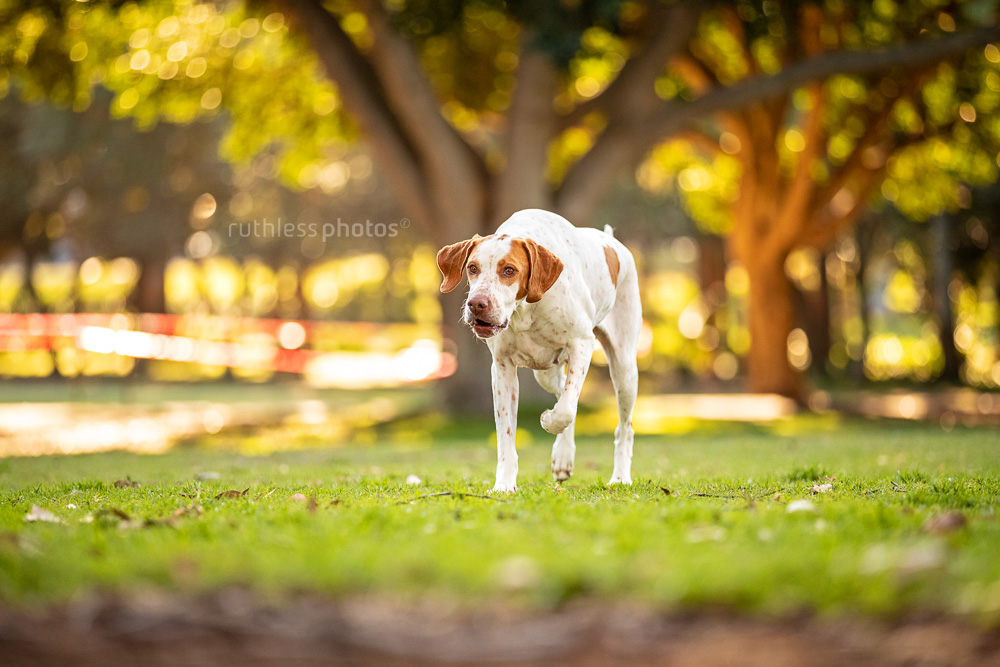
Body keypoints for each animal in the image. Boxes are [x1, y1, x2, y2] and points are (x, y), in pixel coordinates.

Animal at [436, 211, 640, 494]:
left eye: (509, 270)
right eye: (472, 268)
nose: (476, 304)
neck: (524, 310)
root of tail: (611, 240)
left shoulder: (581, 344)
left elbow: (565, 410)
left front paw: (548, 420)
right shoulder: (502, 368)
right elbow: (506, 436)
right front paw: (504, 484)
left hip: (624, 369)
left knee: (623, 427)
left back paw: (620, 477)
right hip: (545, 374)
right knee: (563, 388)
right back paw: (563, 457)